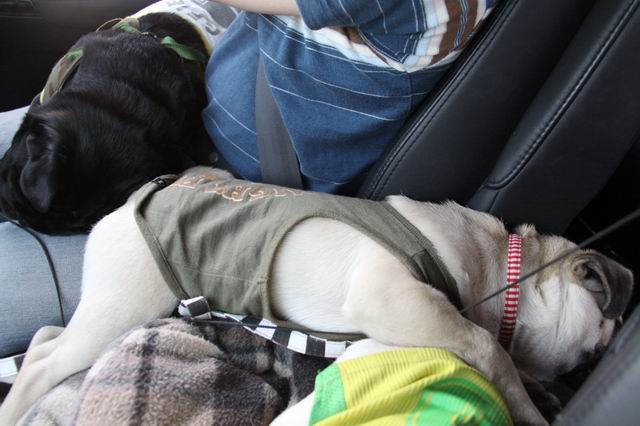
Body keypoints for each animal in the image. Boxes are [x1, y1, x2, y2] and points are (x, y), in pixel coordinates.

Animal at [0, 167, 633, 425]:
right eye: (591, 352)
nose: (596, 362)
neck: (502, 264)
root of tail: (130, 204)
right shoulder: (396, 298)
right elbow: (484, 344)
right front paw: (527, 402)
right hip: (124, 306)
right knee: (46, 363)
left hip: (109, 309)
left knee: (44, 341)